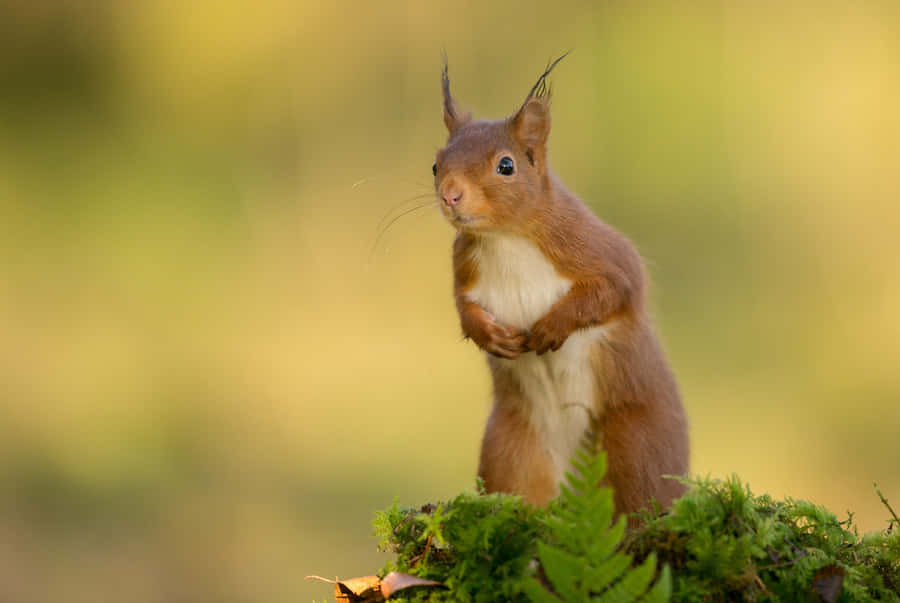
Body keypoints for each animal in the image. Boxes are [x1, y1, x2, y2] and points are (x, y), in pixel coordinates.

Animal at [432, 56, 689, 520]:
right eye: (435, 164)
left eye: (506, 166)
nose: (450, 195)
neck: (506, 239)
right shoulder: (465, 270)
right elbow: (463, 309)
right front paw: (491, 336)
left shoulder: (595, 250)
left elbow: (614, 290)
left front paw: (553, 326)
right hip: (509, 451)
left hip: (637, 444)